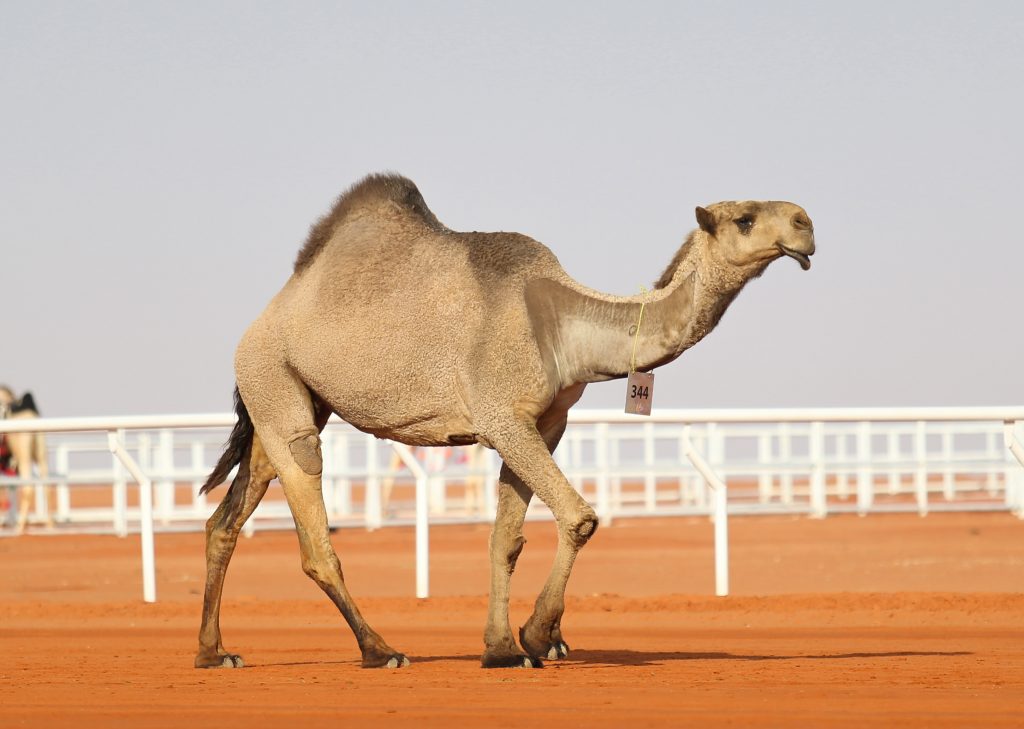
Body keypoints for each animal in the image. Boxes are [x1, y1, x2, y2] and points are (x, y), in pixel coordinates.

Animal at [0, 384, 52, 532]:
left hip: (24, 454)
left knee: (28, 487)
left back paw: (20, 527)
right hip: (41, 453)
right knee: (47, 486)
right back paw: (50, 525)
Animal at [193, 174, 815, 667]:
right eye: (745, 218)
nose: (806, 223)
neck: (562, 324)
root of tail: (265, 318)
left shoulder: (544, 424)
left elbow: (505, 540)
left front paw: (500, 649)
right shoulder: (502, 417)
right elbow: (579, 518)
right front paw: (538, 636)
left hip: (287, 399)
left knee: (228, 515)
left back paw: (213, 652)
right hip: (273, 377)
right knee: (313, 519)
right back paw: (380, 649)